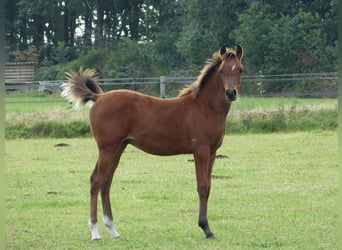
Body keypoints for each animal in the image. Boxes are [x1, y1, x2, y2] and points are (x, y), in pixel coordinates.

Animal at [60, 45, 243, 240]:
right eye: (222, 71)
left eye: (240, 69)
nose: (231, 93)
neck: (204, 108)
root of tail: (99, 97)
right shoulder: (200, 150)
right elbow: (202, 186)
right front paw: (206, 228)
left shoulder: (213, 152)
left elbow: (208, 186)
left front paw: (206, 228)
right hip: (107, 148)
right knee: (96, 180)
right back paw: (95, 231)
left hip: (119, 147)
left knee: (106, 182)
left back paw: (112, 229)